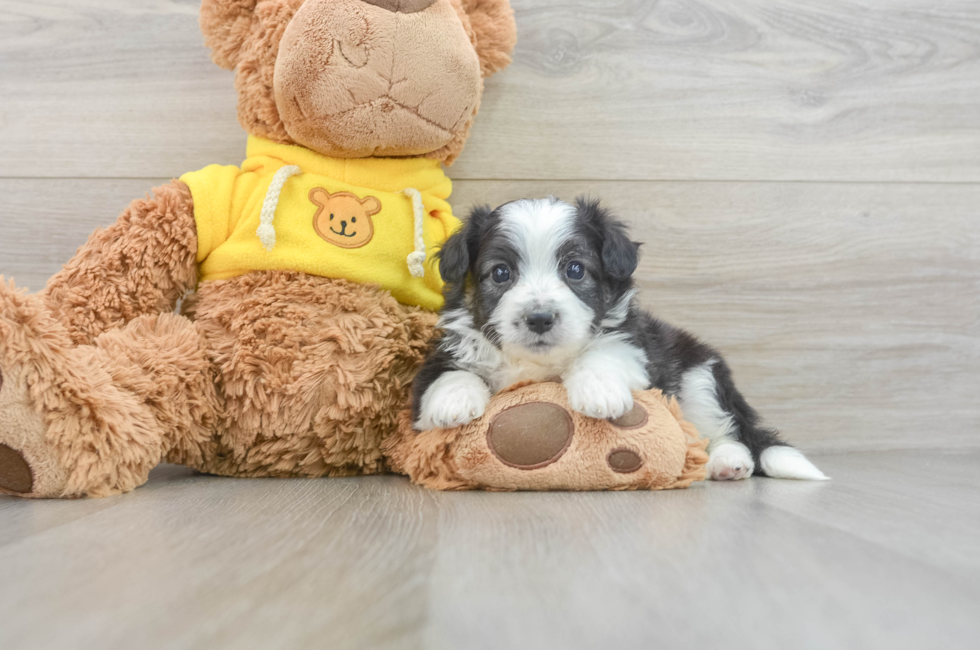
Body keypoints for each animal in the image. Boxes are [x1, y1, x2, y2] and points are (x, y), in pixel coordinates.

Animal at [414, 197, 828, 480]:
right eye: (500, 273)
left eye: (575, 269)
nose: (540, 318)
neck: (540, 363)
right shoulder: (439, 355)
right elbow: (450, 373)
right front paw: (451, 403)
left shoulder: (634, 345)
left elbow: (602, 354)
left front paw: (598, 393)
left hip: (699, 377)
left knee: (723, 430)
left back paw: (728, 462)